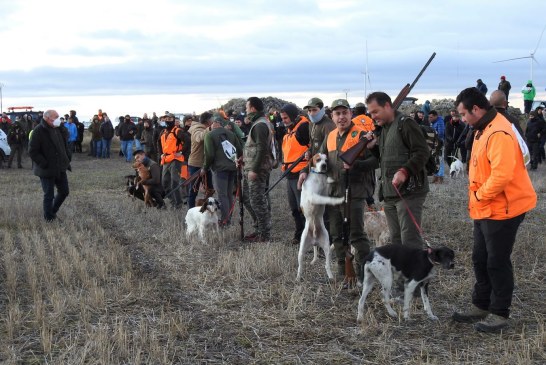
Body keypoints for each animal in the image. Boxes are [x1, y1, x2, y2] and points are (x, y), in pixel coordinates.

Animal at [296, 152, 342, 280]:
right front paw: (338, 200)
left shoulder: (326, 189)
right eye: (318, 160)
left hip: (326, 246)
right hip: (301, 250)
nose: (324, 166)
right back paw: (298, 277)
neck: (319, 176)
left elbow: (329, 182)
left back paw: (330, 276)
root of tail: (314, 240)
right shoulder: (314, 197)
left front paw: (333, 178)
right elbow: (327, 199)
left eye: (326, 160)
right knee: (300, 266)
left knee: (327, 265)